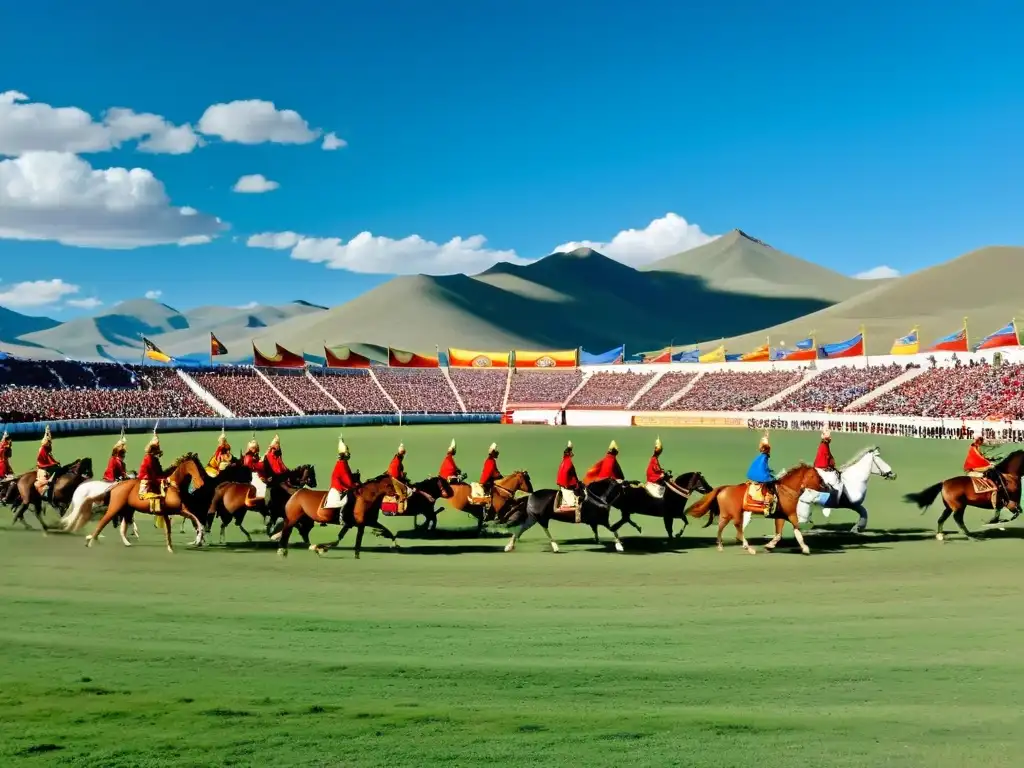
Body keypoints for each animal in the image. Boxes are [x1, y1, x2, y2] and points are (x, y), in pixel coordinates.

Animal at [75, 454, 207, 557]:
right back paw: (90, 540)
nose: (202, 482)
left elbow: (196, 520)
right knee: (103, 521)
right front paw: (172, 547)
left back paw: (124, 542)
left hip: (127, 509)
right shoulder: (167, 512)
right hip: (116, 507)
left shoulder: (179, 510)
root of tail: (117, 485)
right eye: (197, 466)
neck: (172, 487)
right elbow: (170, 529)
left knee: (122, 526)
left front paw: (197, 539)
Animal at [278, 475, 409, 561]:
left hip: (304, 520)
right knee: (287, 531)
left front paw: (396, 547)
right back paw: (283, 550)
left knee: (301, 533)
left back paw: (309, 547)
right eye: (392, 484)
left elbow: (388, 531)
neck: (365, 498)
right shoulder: (360, 524)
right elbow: (357, 539)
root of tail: (297, 492)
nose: (405, 493)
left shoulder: (367, 522)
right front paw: (356, 555)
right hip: (293, 518)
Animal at [684, 466, 827, 557]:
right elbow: (797, 530)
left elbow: (779, 534)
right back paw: (749, 548)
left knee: (721, 527)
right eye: (817, 476)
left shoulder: (780, 515)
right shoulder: (791, 514)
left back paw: (720, 546)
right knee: (738, 530)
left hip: (726, 514)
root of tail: (723, 488)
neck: (786, 490)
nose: (826, 486)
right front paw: (806, 549)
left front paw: (769, 546)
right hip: (735, 513)